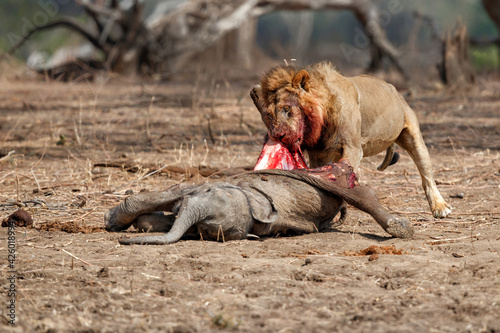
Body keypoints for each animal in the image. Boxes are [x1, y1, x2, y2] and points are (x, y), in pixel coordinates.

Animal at [252, 62, 452, 218]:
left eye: (287, 109)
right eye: (269, 115)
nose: (278, 135)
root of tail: (393, 89)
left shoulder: (353, 148)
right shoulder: (318, 154)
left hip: (413, 135)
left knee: (426, 175)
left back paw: (440, 207)